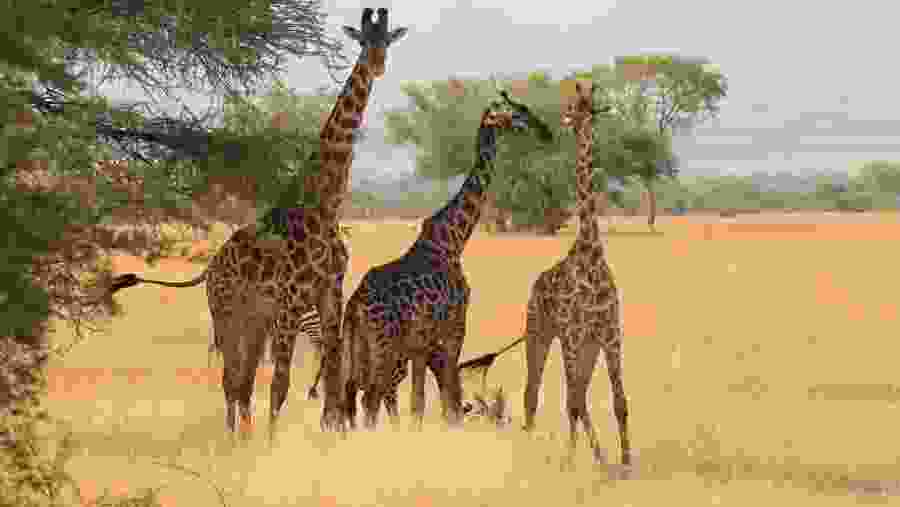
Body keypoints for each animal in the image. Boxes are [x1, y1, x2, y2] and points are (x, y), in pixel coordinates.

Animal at [108, 8, 407, 437]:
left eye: (387, 40)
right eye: (363, 40)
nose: (378, 64)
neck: (324, 204)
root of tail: (210, 269)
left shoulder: (329, 292)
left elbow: (332, 371)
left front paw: (332, 433)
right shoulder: (292, 298)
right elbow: (281, 382)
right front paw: (272, 441)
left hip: (255, 321)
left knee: (243, 381)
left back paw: (242, 435)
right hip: (227, 315)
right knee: (231, 381)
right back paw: (237, 437)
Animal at [336, 90, 554, 430]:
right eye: (516, 112)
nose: (545, 131)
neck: (451, 242)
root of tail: (355, 307)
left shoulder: (420, 345)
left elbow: (424, 404)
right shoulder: (452, 332)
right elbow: (445, 402)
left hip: (362, 349)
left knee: (355, 400)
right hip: (384, 347)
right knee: (371, 399)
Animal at [522, 80, 632, 466]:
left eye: (587, 102)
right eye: (573, 102)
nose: (568, 117)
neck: (591, 252)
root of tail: (533, 286)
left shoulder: (609, 334)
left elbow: (619, 402)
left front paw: (626, 462)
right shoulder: (572, 333)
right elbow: (570, 402)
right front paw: (569, 463)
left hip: (586, 346)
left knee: (578, 395)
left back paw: (600, 458)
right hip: (539, 333)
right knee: (534, 392)